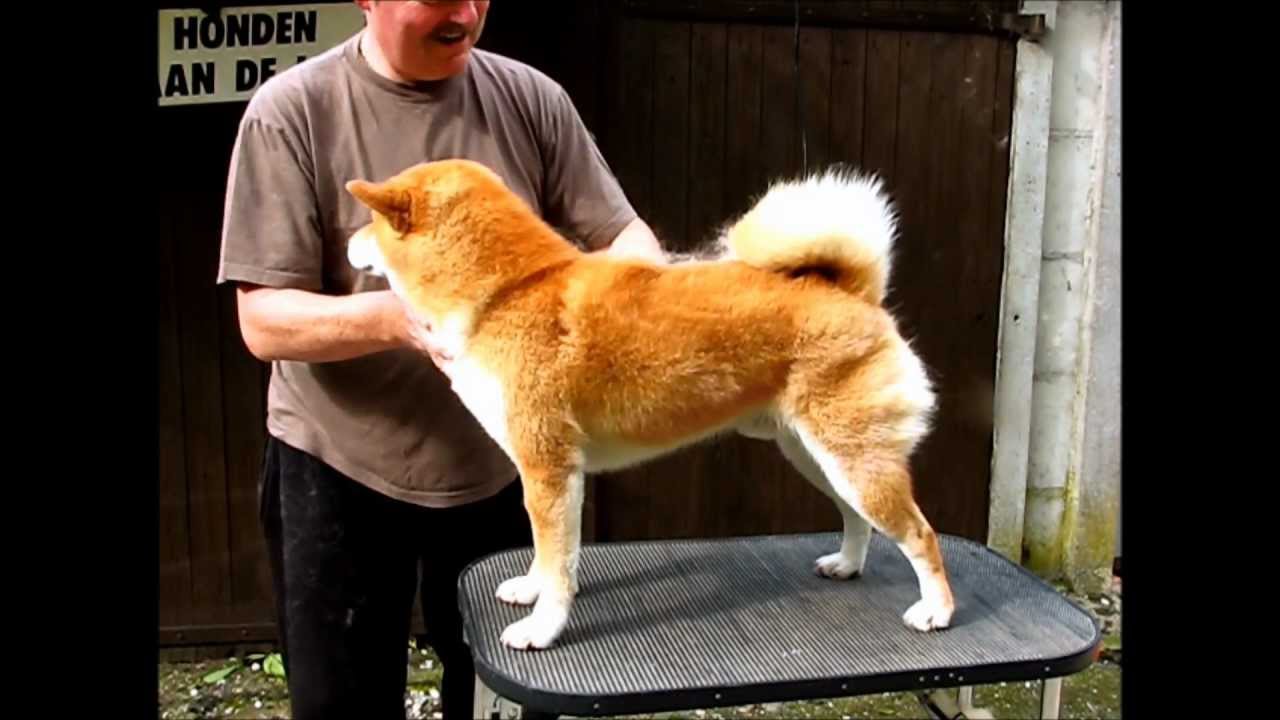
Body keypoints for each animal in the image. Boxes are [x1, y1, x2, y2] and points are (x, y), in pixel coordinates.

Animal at [345, 158, 957, 650]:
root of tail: (852, 290)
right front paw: (531, 590)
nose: (348, 241)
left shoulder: (549, 468)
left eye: (369, 221)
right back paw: (848, 565)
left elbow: (558, 563)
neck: (506, 293)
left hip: (850, 459)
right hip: (816, 455)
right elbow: (547, 556)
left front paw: (543, 629)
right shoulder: (548, 475)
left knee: (919, 534)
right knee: (859, 519)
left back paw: (937, 611)